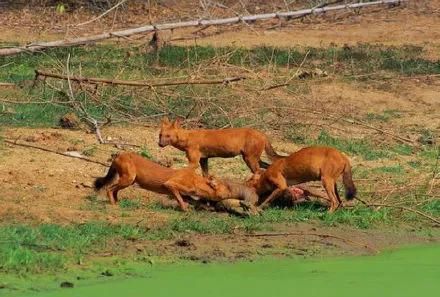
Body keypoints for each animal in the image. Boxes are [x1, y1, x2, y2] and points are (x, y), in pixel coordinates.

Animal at [93, 153, 258, 210]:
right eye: (228, 188)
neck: (196, 181)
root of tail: (119, 154)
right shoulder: (170, 185)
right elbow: (180, 198)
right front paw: (184, 209)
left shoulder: (183, 191)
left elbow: (189, 199)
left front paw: (199, 206)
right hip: (128, 179)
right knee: (109, 188)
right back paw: (113, 205)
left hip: (129, 180)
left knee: (114, 189)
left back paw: (117, 202)